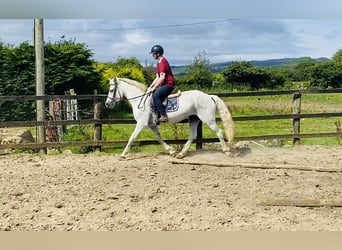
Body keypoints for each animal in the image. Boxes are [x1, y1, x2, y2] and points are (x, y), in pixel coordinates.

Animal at [104, 77, 234, 159]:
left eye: (111, 90)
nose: (107, 104)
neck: (139, 100)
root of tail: (209, 96)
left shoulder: (141, 123)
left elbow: (132, 138)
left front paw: (123, 154)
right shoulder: (151, 124)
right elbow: (159, 137)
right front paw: (171, 151)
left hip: (208, 119)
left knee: (219, 132)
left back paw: (226, 151)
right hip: (193, 119)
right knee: (192, 136)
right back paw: (181, 154)